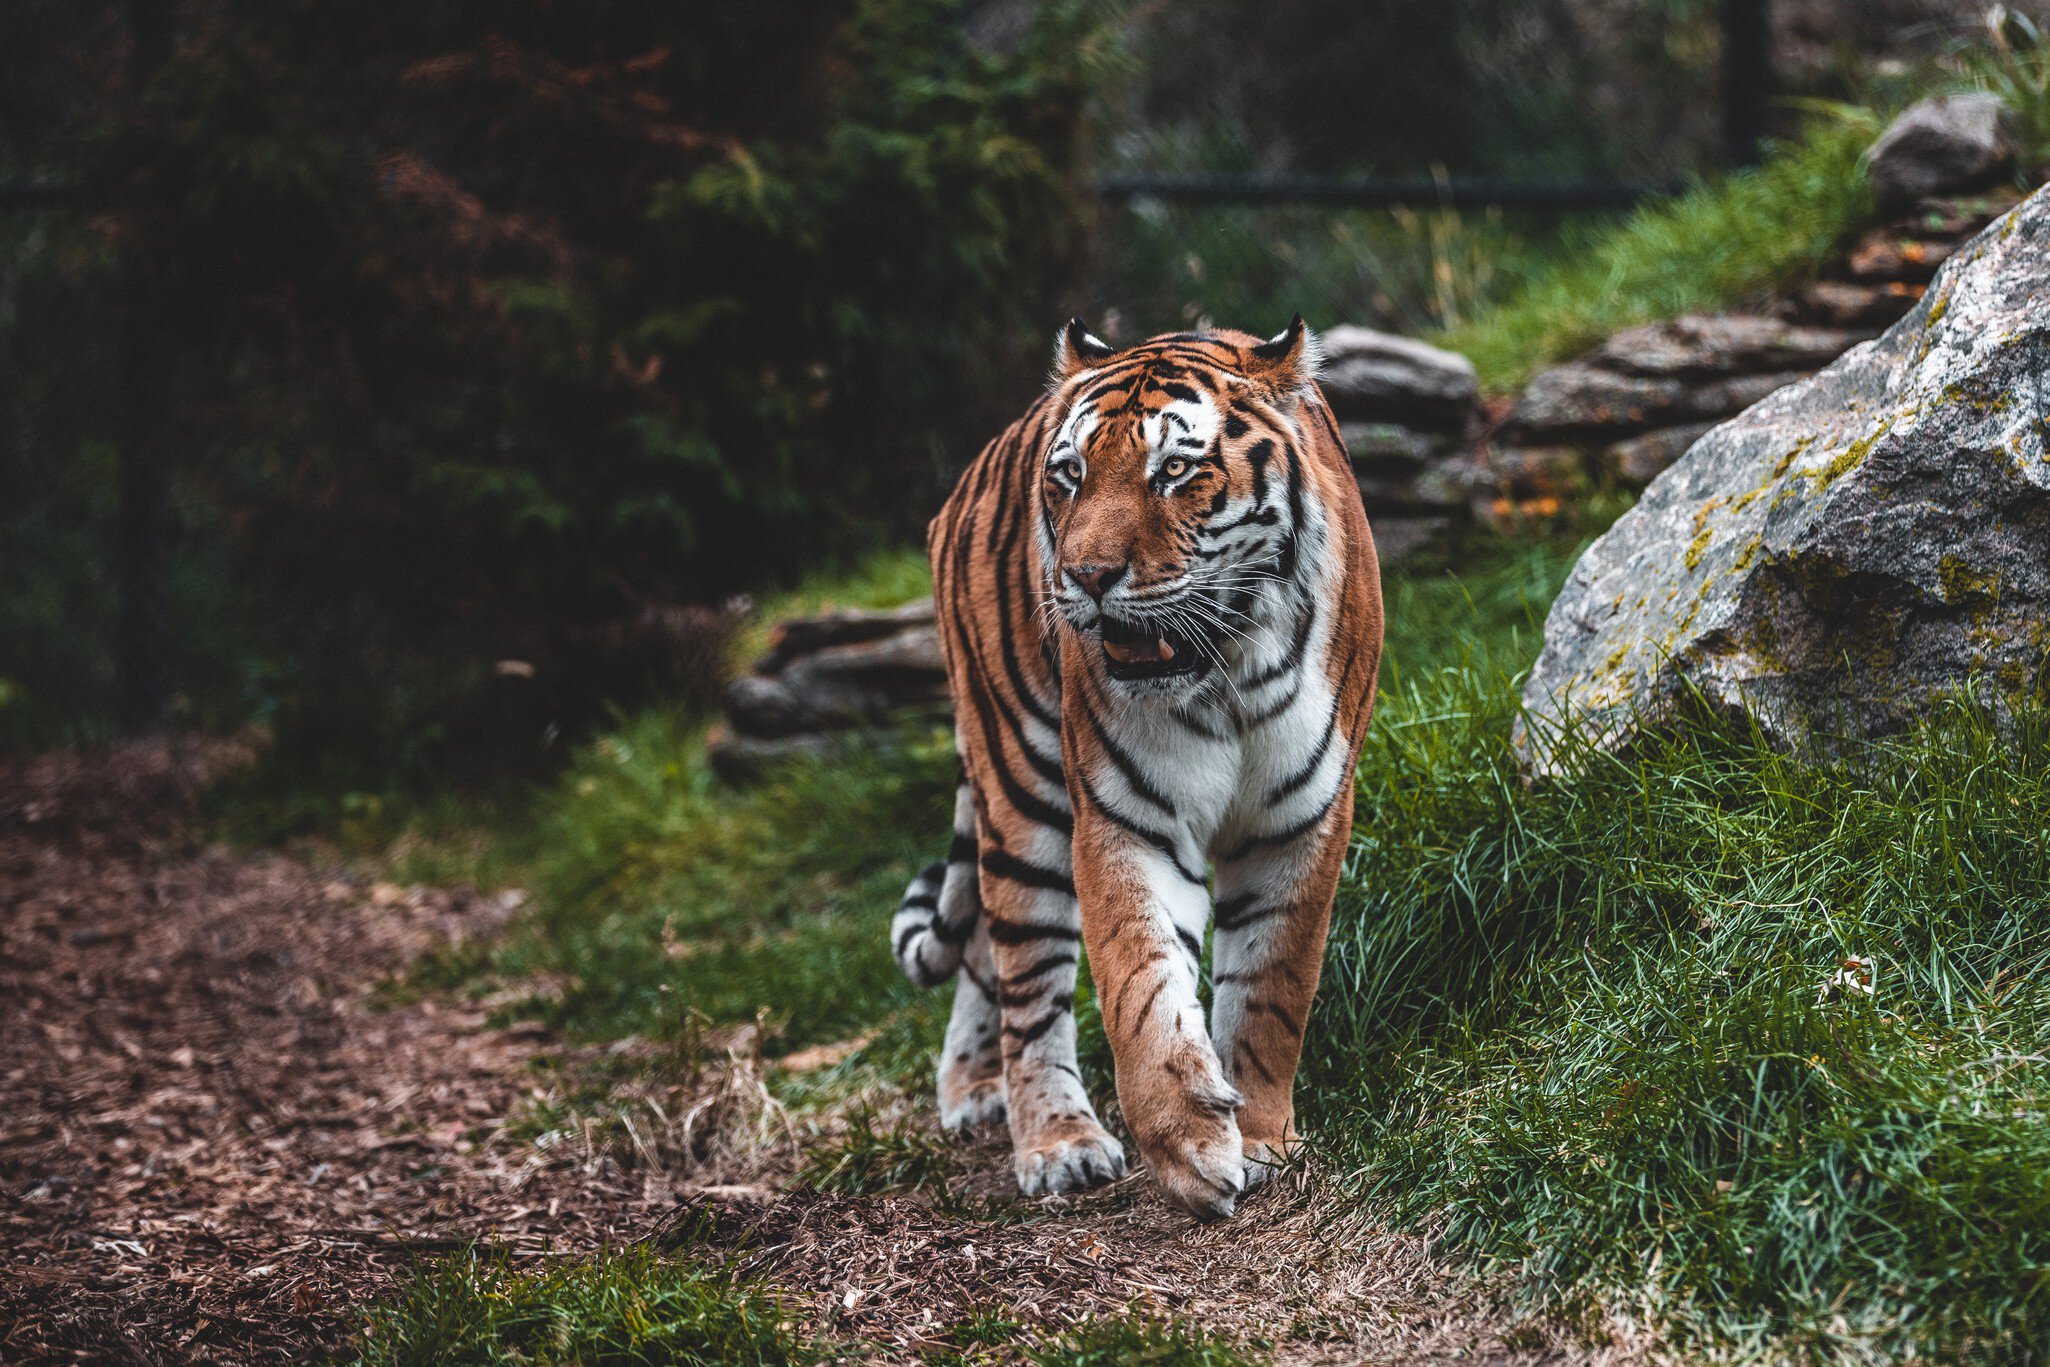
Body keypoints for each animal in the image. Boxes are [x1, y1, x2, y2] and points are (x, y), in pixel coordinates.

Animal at [890, 317, 1384, 1219]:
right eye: (1070, 476)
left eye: (1175, 471)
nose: (1085, 578)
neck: (1226, 670)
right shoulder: (1125, 819)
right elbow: (1142, 987)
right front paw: (1190, 1143)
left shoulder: (1303, 817)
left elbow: (1272, 989)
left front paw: (1261, 1136)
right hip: (1021, 790)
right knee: (1023, 981)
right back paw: (1055, 1139)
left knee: (981, 946)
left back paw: (976, 1089)